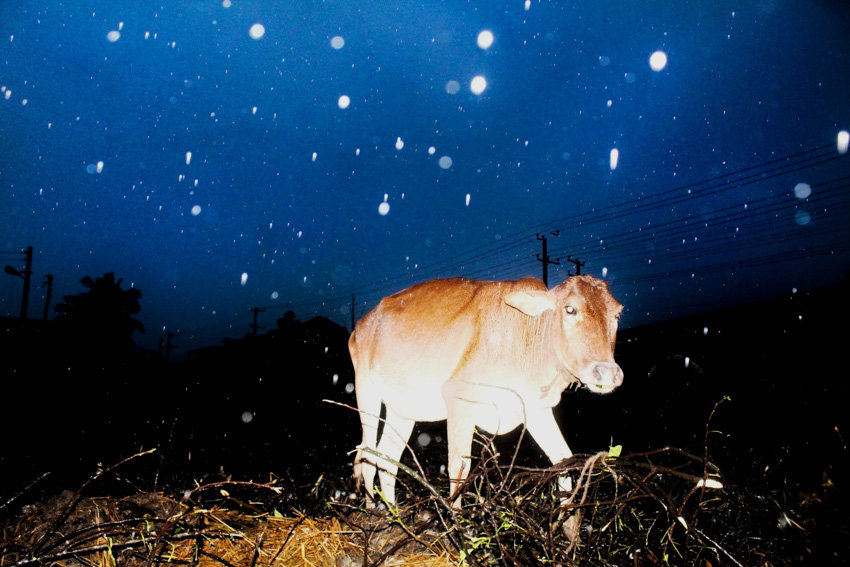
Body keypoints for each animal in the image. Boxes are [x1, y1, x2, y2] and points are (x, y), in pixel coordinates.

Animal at [346, 278, 624, 508]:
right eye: (570, 309)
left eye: (617, 314)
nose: (607, 372)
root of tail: (362, 323)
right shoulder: (459, 397)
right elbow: (459, 467)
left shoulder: (535, 408)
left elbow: (563, 460)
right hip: (366, 391)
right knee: (367, 454)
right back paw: (375, 515)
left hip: (403, 410)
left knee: (387, 458)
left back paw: (394, 516)